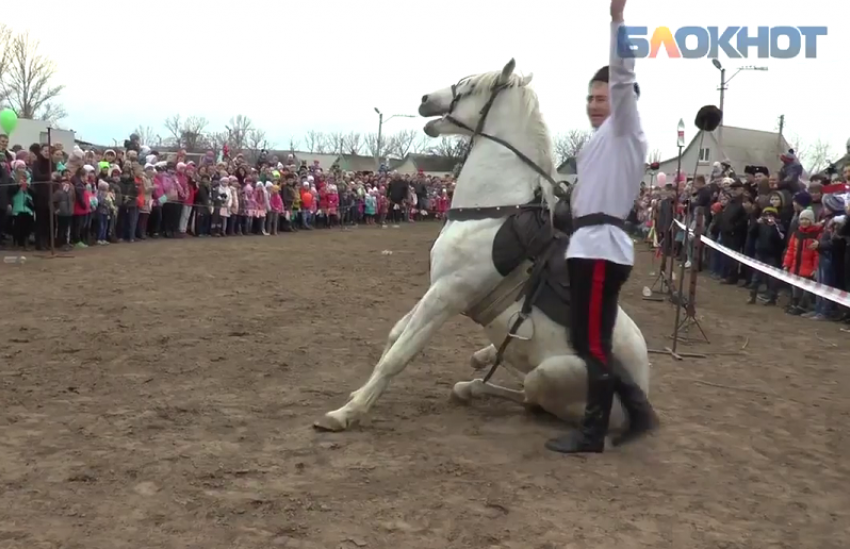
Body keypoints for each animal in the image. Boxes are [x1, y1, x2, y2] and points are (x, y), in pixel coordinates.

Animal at [314, 58, 652, 440]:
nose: (425, 99)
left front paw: (345, 413)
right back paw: (473, 379)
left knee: (530, 399)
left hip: (548, 376)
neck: (492, 213)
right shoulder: (436, 288)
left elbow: (399, 356)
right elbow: (396, 334)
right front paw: (356, 395)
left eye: (470, 87)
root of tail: (641, 395)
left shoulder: (448, 294)